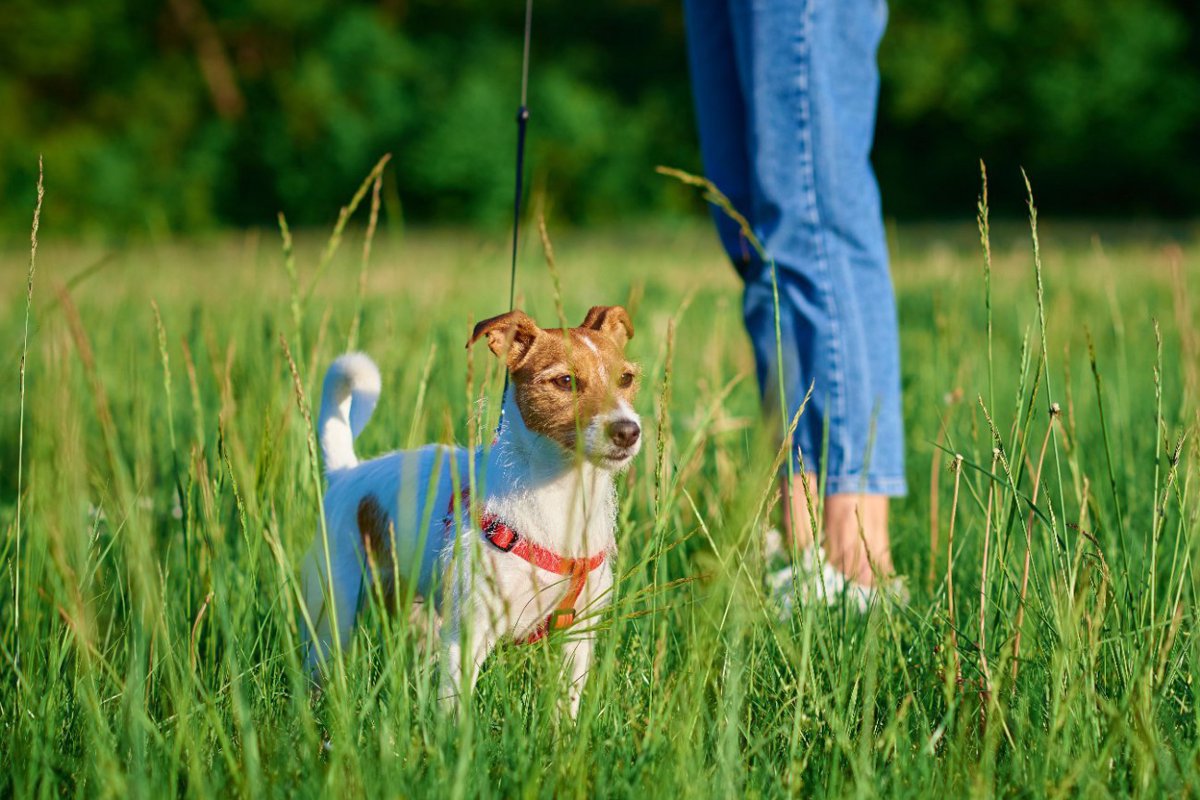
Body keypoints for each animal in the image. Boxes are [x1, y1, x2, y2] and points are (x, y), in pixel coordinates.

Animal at [304, 304, 643, 714]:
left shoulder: (578, 637)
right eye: (565, 381)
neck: (561, 498)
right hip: (331, 614)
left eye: (626, 378)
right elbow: (454, 709)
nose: (628, 431)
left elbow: (568, 706)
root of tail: (346, 474)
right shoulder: (469, 634)